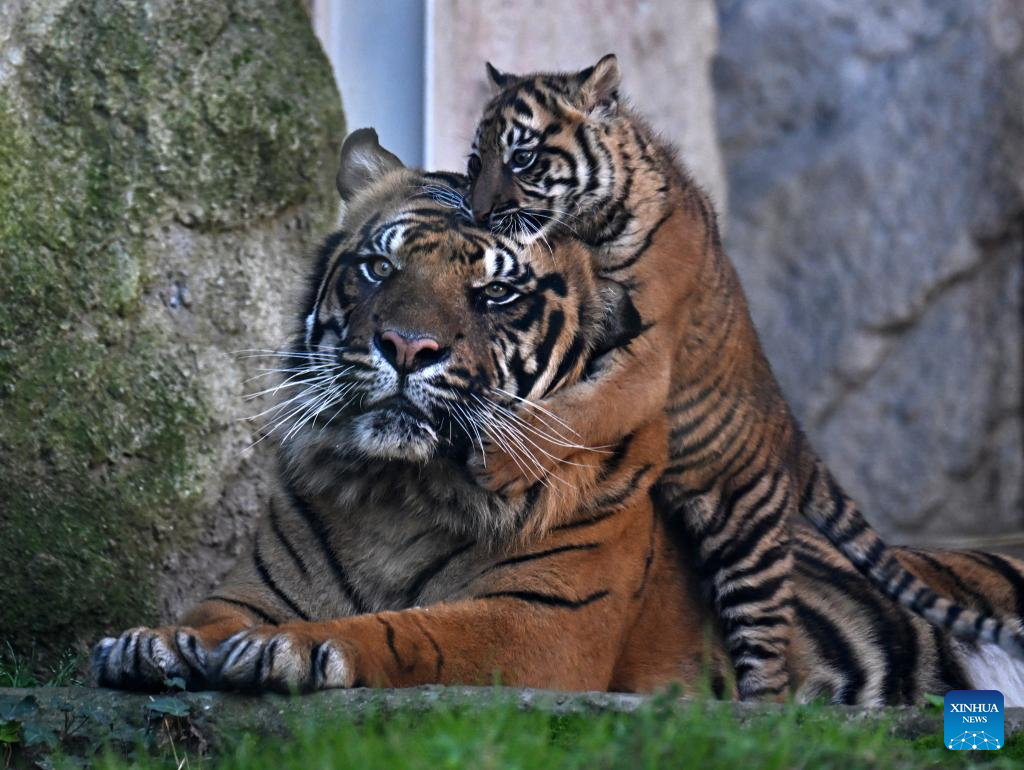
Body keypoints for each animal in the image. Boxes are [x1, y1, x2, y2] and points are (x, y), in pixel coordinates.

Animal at [94, 131, 1024, 704]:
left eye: (496, 293)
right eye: (376, 268)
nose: (404, 347)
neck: (400, 497)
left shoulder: (541, 624)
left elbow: (412, 631)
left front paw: (301, 648)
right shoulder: (250, 588)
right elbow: (206, 617)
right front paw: (155, 641)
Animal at [468, 55, 1024, 696]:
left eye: (523, 158)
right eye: (475, 161)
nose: (479, 214)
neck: (588, 227)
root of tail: (794, 436)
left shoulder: (646, 360)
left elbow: (580, 411)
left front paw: (500, 461)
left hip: (745, 539)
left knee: (770, 663)